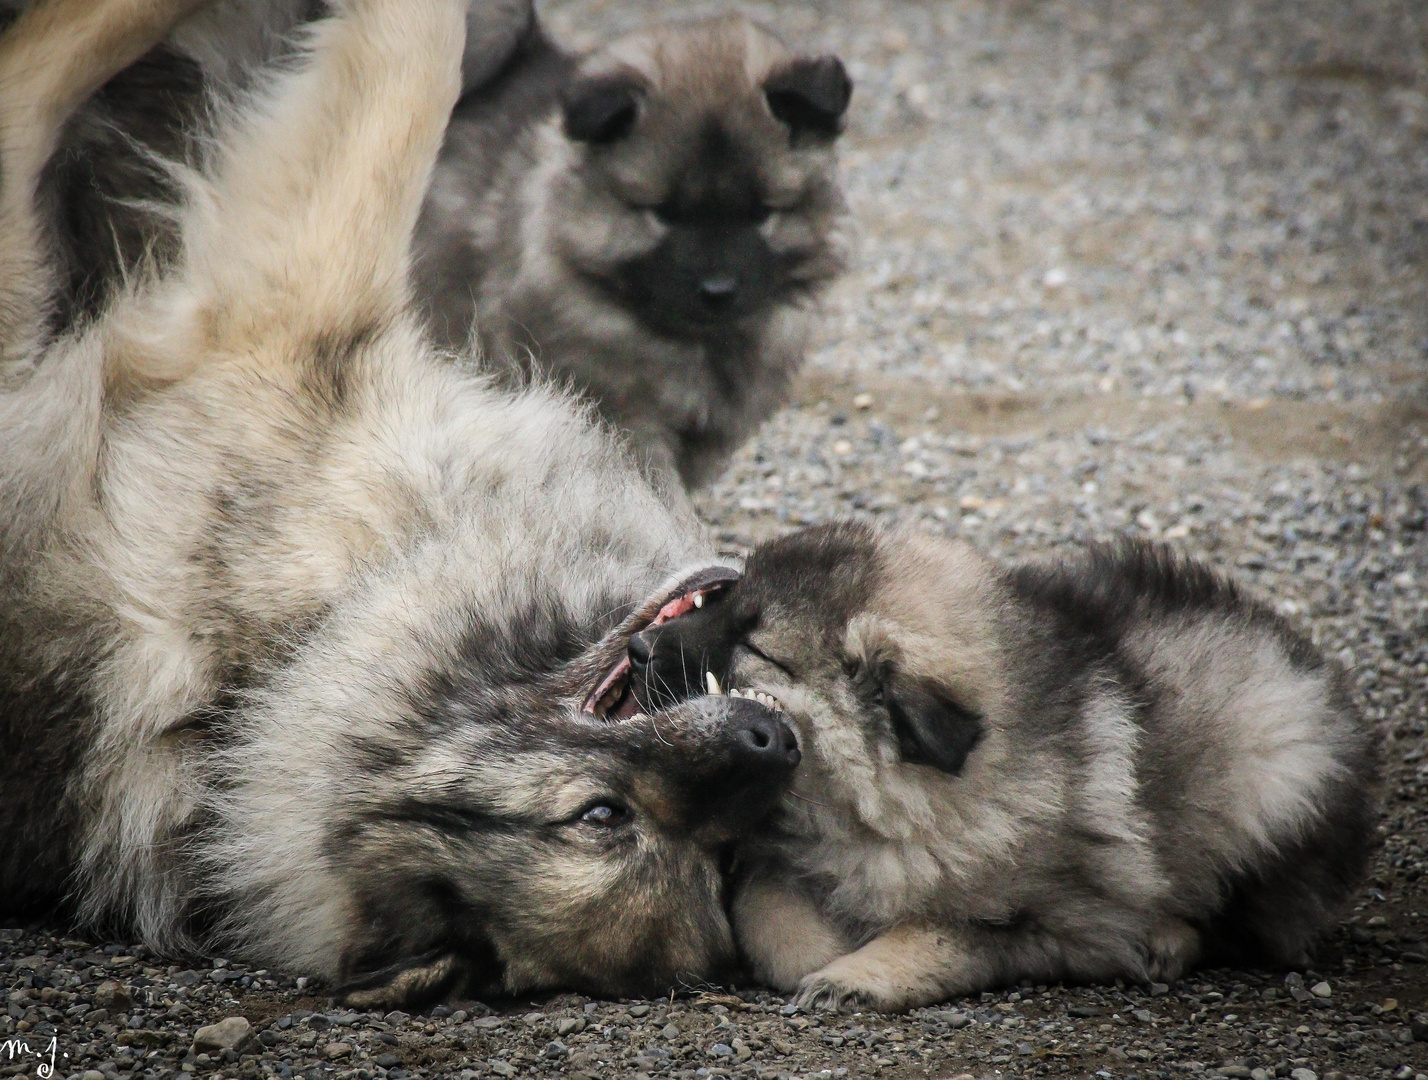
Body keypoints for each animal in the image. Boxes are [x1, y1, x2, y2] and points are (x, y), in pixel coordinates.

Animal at [628, 522, 1382, 1011]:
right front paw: (822, 950)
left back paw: (1167, 940)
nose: (636, 649)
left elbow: (940, 930)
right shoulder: (777, 856)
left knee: (1245, 920)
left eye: (755, 645)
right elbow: (769, 912)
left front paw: (859, 974)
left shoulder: (1054, 922)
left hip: (1273, 766)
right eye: (722, 600)